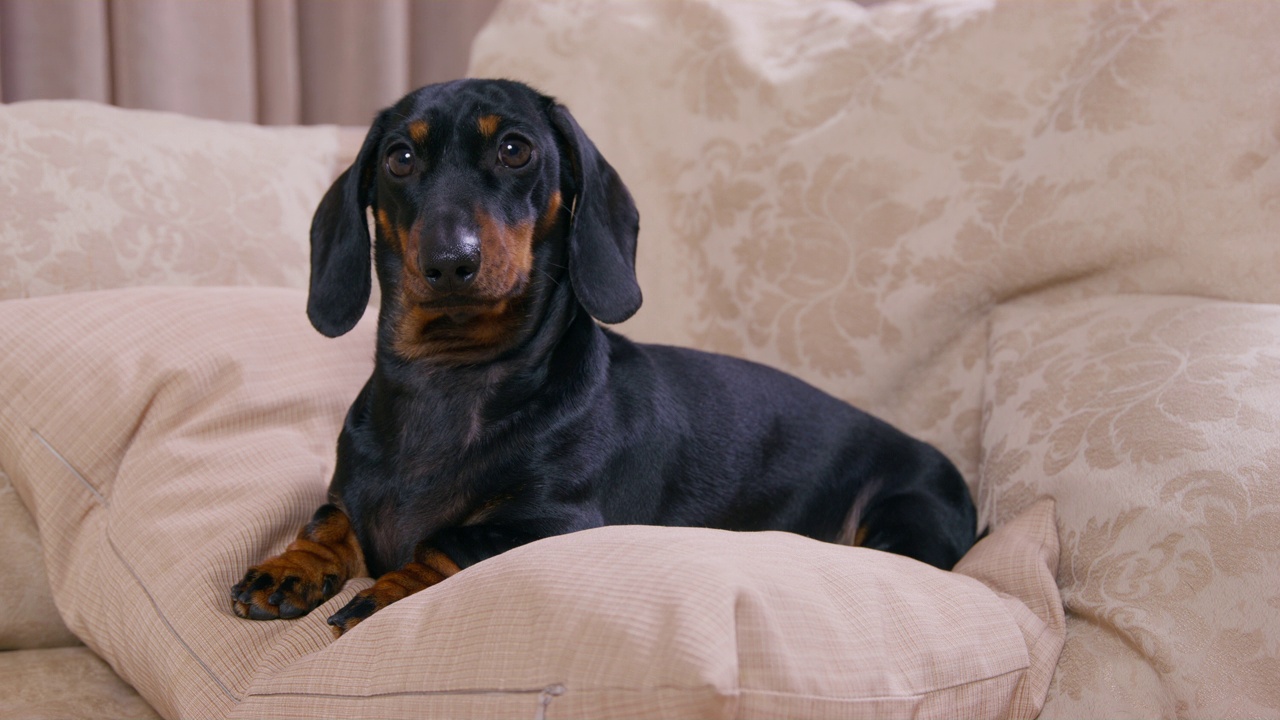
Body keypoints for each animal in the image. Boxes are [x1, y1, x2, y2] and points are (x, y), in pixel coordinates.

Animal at [230, 78, 972, 632]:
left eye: (515, 149)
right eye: (398, 159)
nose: (449, 262)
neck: (451, 377)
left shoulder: (560, 521)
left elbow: (450, 539)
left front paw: (384, 590)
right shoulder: (348, 498)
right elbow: (328, 519)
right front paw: (290, 567)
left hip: (906, 518)